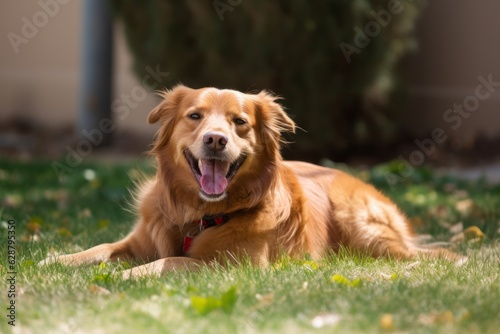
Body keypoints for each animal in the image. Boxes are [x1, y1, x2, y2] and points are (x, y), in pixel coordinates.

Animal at [40, 85, 464, 276]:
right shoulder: (138, 240)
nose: (216, 139)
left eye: (239, 122)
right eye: (195, 116)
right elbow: (100, 247)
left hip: (362, 226)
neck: (198, 214)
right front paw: (54, 260)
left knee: (419, 255)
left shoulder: (232, 265)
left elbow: (171, 260)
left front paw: (126, 277)